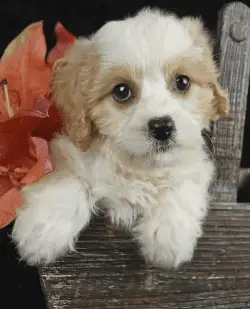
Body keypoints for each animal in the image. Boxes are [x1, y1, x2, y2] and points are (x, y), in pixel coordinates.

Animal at [12, 7, 229, 268]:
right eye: (122, 91)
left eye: (182, 82)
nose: (162, 126)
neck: (136, 167)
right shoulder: (68, 150)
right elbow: (71, 179)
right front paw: (42, 229)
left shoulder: (194, 164)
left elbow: (182, 183)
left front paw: (168, 237)